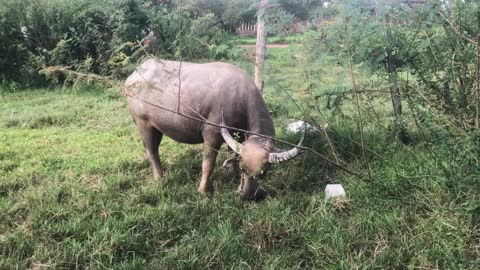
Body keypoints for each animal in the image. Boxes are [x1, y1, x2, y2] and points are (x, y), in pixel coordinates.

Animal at [124, 59, 304, 200]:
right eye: (244, 169)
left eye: (263, 173)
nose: (246, 196)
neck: (240, 97)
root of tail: (132, 77)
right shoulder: (212, 134)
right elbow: (208, 164)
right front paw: (204, 190)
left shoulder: (238, 136)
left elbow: (233, 153)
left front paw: (232, 173)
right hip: (143, 123)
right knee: (152, 150)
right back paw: (160, 178)